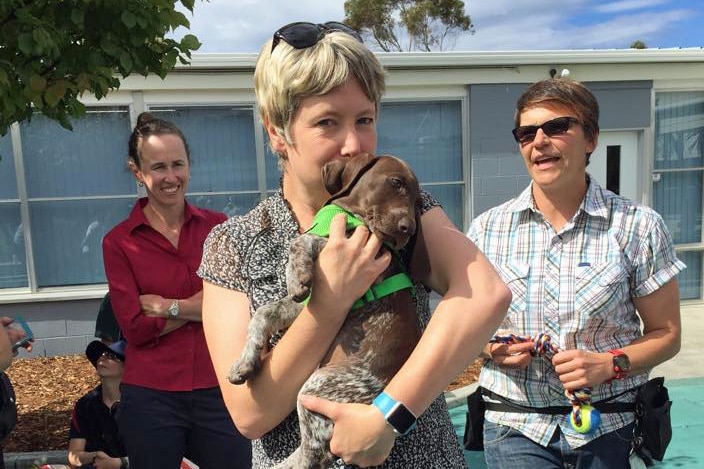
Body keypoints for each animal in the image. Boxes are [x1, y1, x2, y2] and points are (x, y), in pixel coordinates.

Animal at [228, 154, 420, 468]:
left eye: (418, 201)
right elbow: (264, 313)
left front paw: (295, 270)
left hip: (319, 385)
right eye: (396, 183)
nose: (410, 229)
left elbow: (304, 240)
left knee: (313, 453)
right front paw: (245, 361)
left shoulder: (365, 254)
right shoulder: (307, 303)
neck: (345, 213)